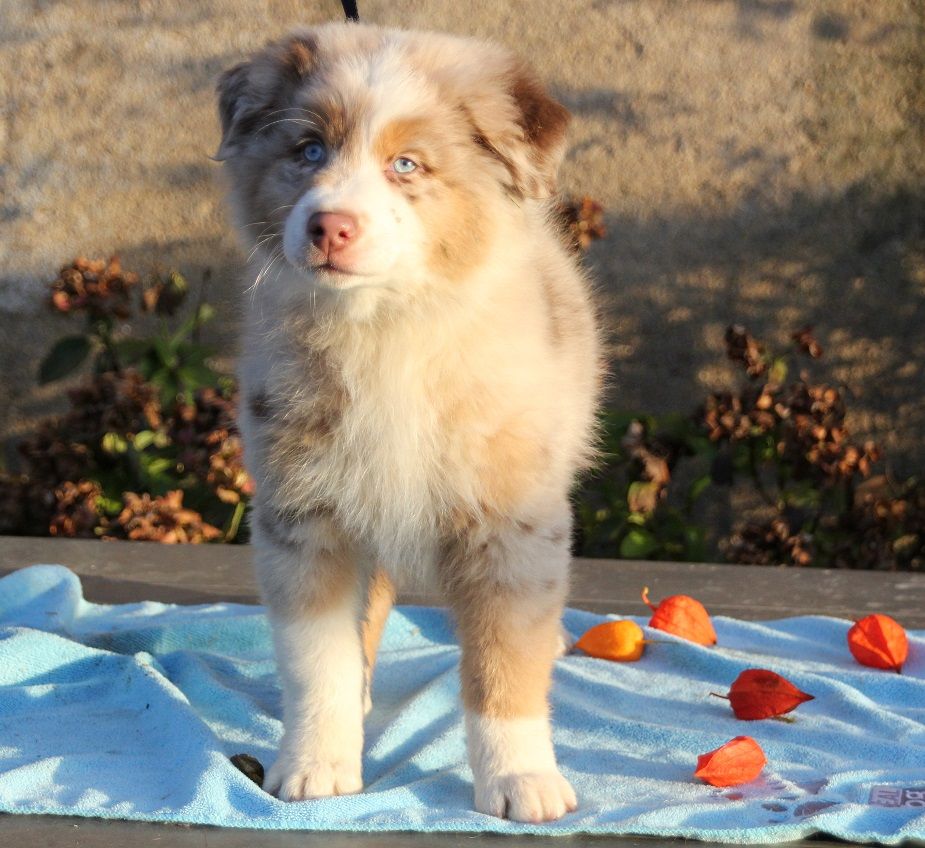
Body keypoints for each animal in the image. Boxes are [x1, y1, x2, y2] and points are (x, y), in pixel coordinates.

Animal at [219, 23, 604, 824]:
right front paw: (315, 765)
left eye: (406, 165)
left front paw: (521, 778)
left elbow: (504, 666)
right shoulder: (303, 520)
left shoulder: (512, 526)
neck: (384, 324)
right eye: (308, 150)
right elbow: (318, 661)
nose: (329, 226)